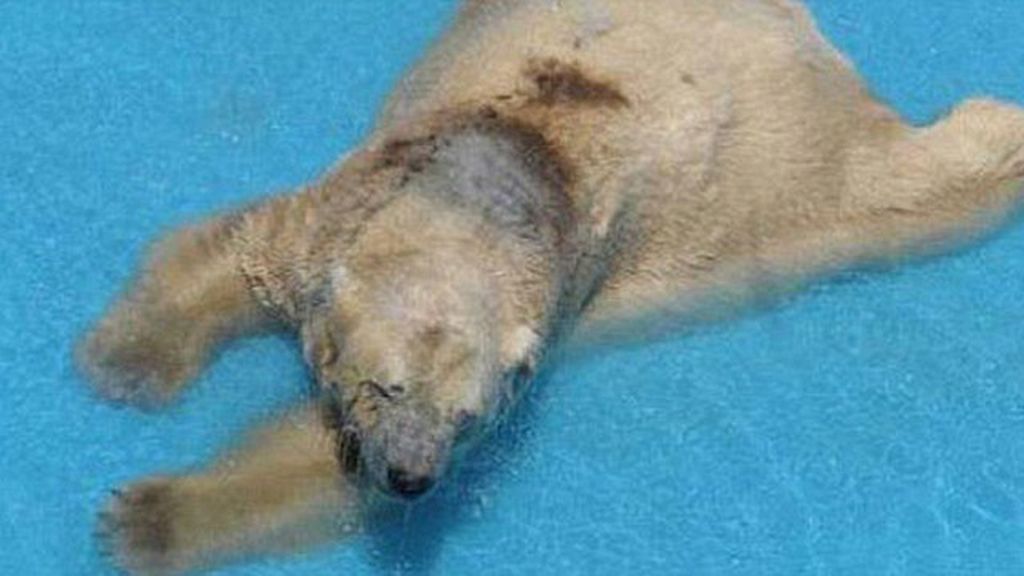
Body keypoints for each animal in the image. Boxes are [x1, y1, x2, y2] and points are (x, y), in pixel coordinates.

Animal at [78, 0, 1024, 573]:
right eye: (386, 386)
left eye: (468, 418)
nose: (414, 478)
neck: (501, 181)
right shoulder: (344, 206)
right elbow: (236, 253)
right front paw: (129, 364)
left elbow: (313, 458)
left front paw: (147, 521)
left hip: (795, 190)